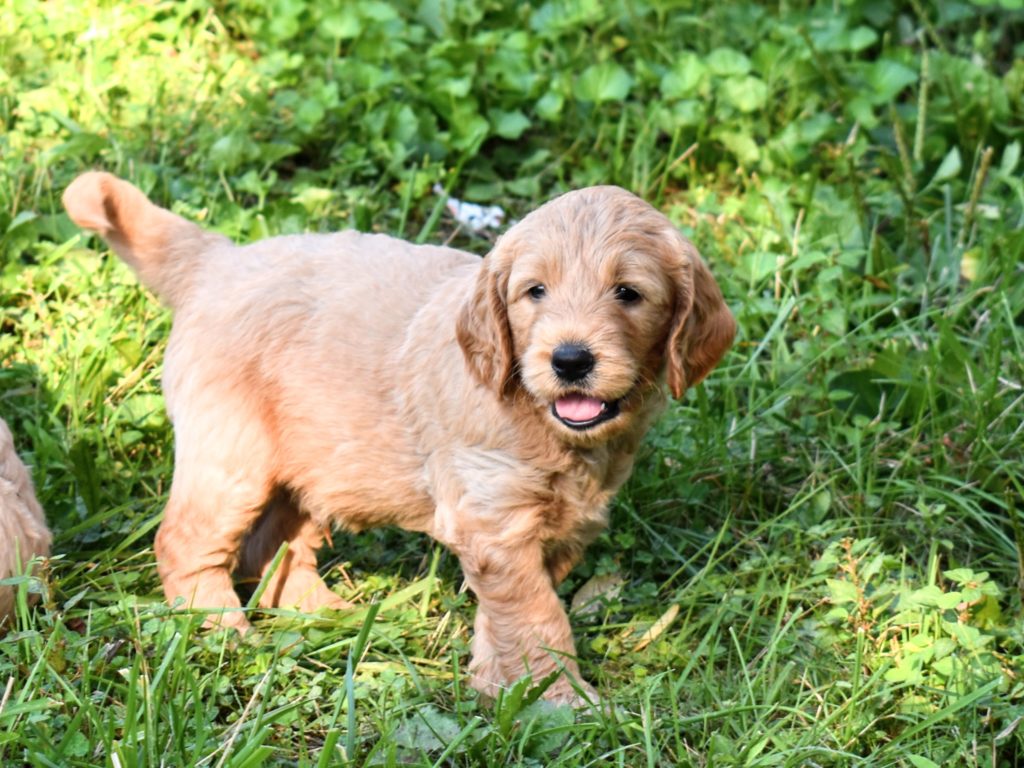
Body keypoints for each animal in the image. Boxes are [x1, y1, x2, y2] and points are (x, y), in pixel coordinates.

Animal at [64, 173, 733, 704]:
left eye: (629, 293)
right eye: (535, 291)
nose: (570, 360)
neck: (538, 418)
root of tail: (219, 260)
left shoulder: (557, 526)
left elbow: (511, 613)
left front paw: (496, 685)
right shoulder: (493, 517)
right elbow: (539, 618)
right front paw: (560, 700)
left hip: (315, 455)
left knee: (274, 547)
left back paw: (328, 618)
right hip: (231, 452)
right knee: (186, 543)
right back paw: (224, 638)